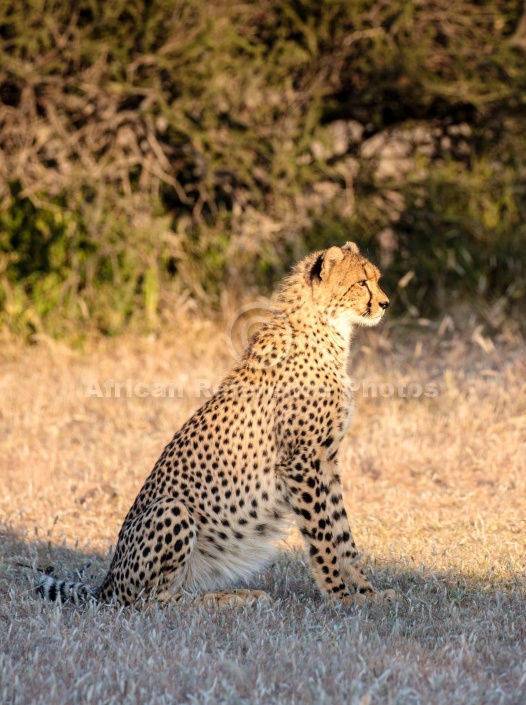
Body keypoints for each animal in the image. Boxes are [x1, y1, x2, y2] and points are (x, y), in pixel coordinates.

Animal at [37, 242, 398, 604]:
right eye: (362, 282)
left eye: (377, 279)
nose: (385, 304)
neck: (327, 329)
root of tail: (107, 582)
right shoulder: (301, 462)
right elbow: (323, 535)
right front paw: (339, 594)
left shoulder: (326, 459)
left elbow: (342, 534)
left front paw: (368, 592)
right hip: (173, 510)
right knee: (156, 600)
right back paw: (231, 599)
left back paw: (240, 594)